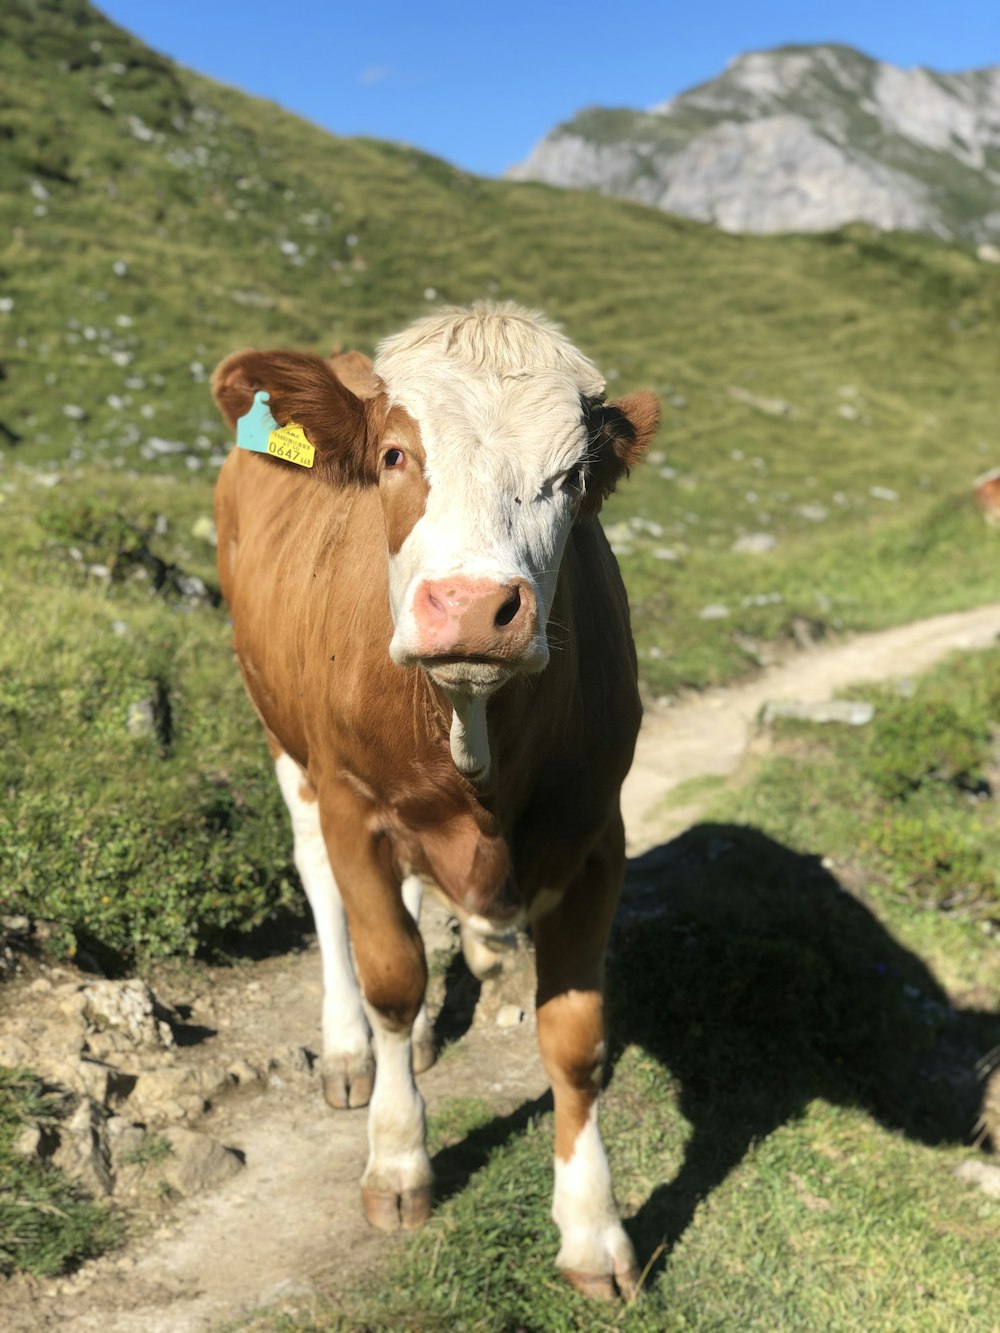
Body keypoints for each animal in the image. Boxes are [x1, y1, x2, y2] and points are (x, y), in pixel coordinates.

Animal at [212, 302, 661, 1301]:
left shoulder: (595, 833)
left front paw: (593, 1230)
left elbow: (575, 1037)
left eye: (572, 476)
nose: (470, 605)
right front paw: (397, 1162)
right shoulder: (353, 803)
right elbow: (391, 974)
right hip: (283, 736)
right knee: (322, 883)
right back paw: (351, 1051)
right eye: (393, 455)